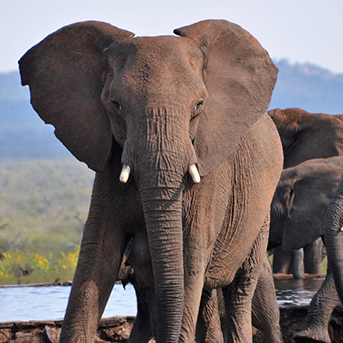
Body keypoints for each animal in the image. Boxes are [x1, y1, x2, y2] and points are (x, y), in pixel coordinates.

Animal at [18, 19, 284, 343]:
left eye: (199, 105)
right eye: (116, 104)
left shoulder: (209, 172)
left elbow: (188, 258)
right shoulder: (108, 169)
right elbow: (97, 257)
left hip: (259, 214)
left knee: (240, 289)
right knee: (207, 295)